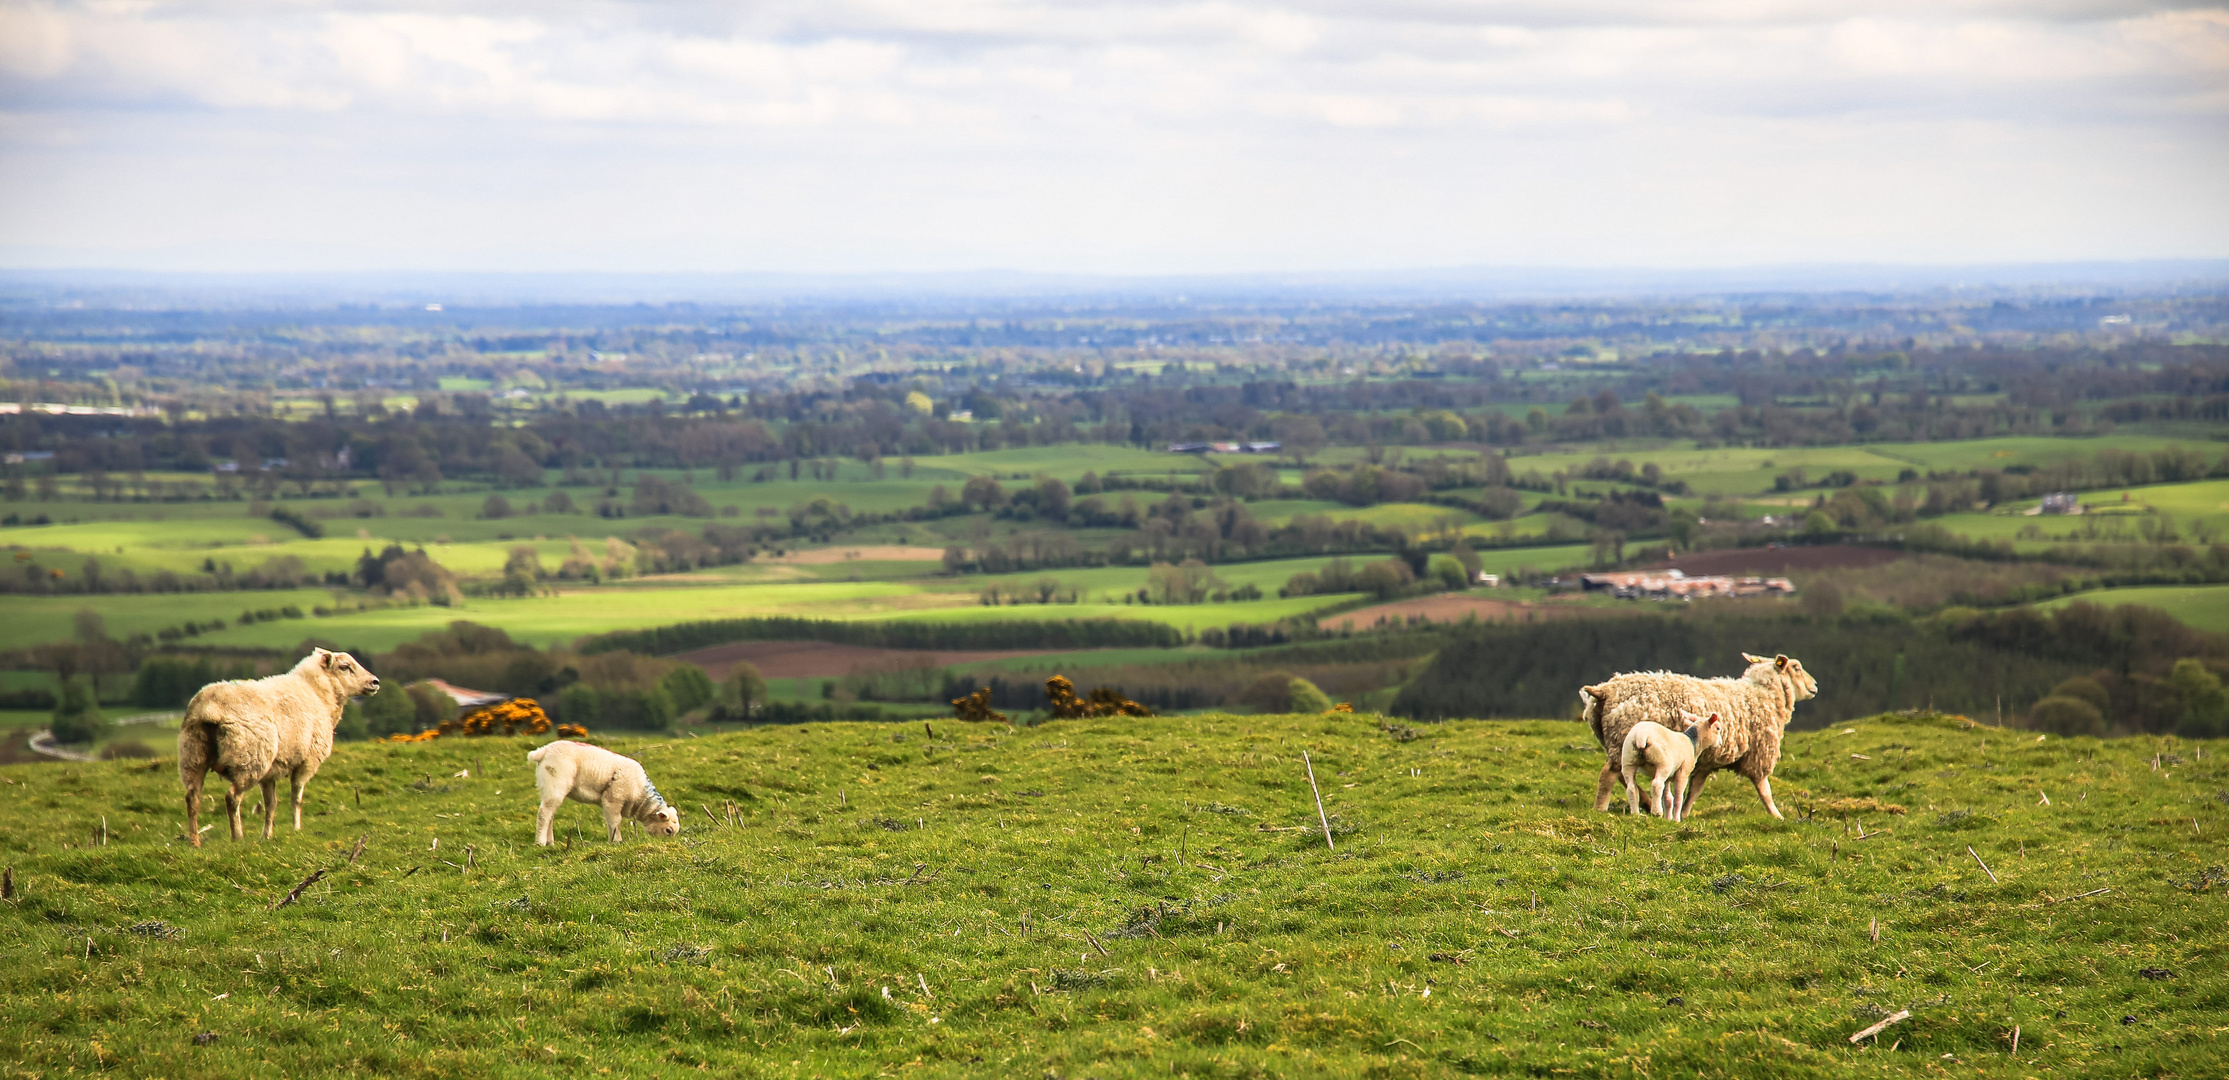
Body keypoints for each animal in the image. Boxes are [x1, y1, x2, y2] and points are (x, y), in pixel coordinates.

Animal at [178, 645, 378, 846]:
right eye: (345, 666)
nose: (375, 682)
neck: (318, 693)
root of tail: (210, 707)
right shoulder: (307, 762)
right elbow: (296, 797)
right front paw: (296, 829)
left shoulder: (269, 773)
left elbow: (271, 804)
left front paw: (267, 835)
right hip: (249, 760)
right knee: (232, 798)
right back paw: (237, 837)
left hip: (193, 755)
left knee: (192, 798)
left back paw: (194, 842)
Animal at [523, 734, 677, 846]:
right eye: (668, 830)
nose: (666, 844)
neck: (640, 793)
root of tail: (543, 751)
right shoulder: (613, 799)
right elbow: (615, 821)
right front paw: (617, 841)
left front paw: (612, 840)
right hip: (555, 783)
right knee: (544, 813)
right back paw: (540, 843)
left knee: (551, 814)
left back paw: (550, 842)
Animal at [1578, 650, 1818, 815]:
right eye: (1796, 667)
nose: (1815, 685)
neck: (1763, 693)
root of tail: (1604, 690)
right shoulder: (1758, 754)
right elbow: (1765, 791)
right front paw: (1777, 816)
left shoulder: (1705, 761)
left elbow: (1694, 791)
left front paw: (1683, 814)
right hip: (1623, 738)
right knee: (1608, 775)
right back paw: (1600, 808)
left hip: (1618, 745)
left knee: (1622, 776)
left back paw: (1644, 803)